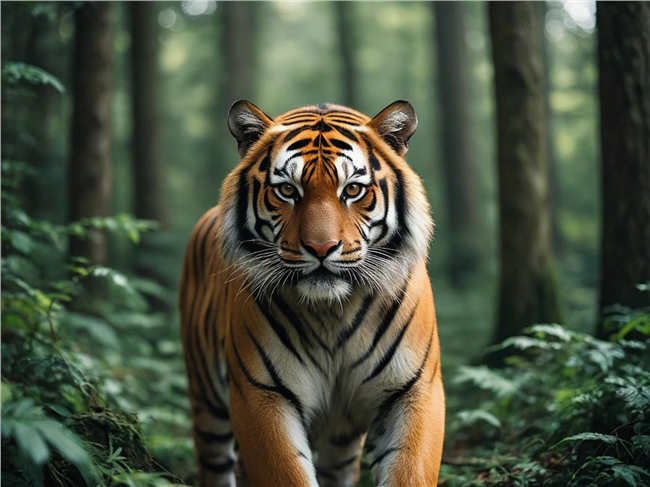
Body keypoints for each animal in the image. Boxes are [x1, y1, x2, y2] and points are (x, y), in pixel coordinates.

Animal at [179, 100, 444, 487]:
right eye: (288, 191)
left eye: (353, 190)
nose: (321, 248)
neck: (333, 312)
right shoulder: (262, 395)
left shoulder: (414, 390)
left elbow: (410, 472)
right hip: (207, 404)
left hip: (342, 439)